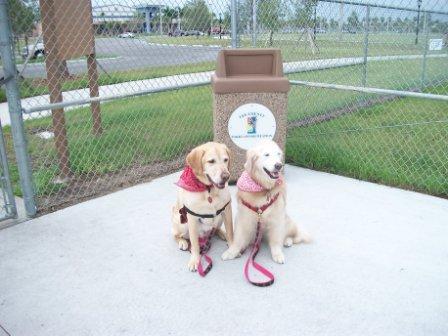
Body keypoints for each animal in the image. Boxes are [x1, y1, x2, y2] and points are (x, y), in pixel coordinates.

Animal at [172, 141, 234, 270]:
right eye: (211, 161)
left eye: (226, 160)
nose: (226, 177)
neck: (208, 190)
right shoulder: (192, 218)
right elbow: (195, 244)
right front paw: (195, 260)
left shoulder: (227, 210)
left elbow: (231, 232)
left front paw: (232, 248)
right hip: (182, 223)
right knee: (177, 235)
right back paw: (182, 242)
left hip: (219, 219)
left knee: (215, 229)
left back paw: (222, 234)